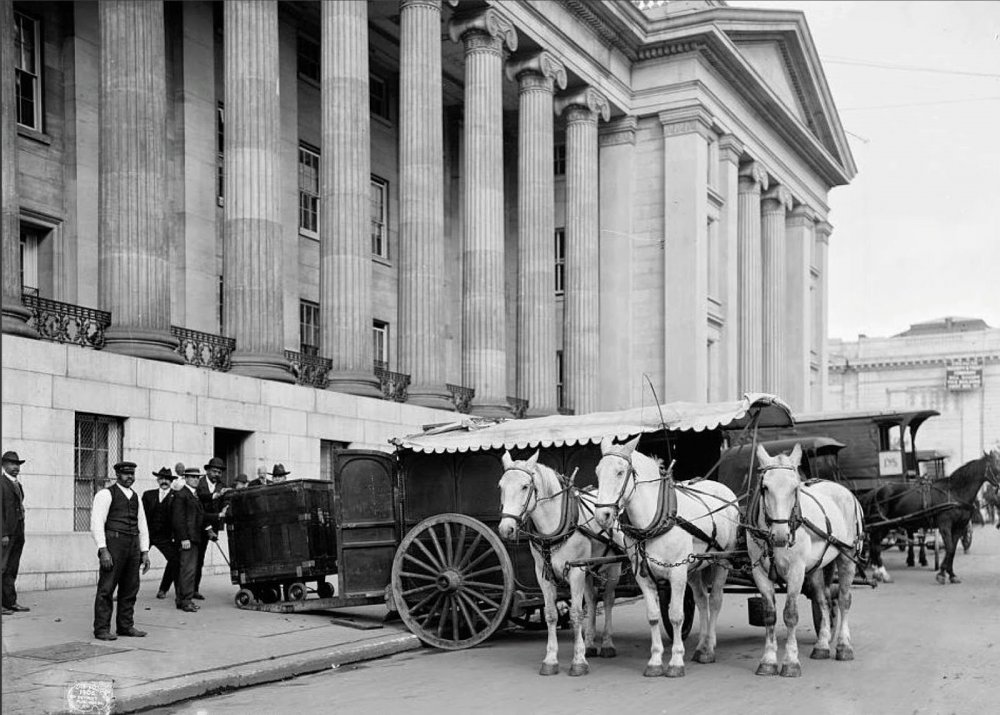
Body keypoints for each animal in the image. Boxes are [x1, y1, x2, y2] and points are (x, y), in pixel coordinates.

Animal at [496, 450, 620, 680]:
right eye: (501, 486)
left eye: (525, 486)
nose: (506, 528)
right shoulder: (543, 574)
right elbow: (551, 614)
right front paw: (551, 660)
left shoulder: (576, 571)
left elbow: (576, 614)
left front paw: (578, 661)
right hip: (589, 569)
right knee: (592, 600)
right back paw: (590, 643)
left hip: (611, 568)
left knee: (607, 600)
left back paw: (607, 644)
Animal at [592, 436, 744, 676]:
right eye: (598, 472)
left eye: (620, 472)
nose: (602, 515)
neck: (655, 522)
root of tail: (724, 490)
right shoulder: (644, 576)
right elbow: (654, 616)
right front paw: (655, 660)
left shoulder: (677, 573)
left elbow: (676, 615)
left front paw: (675, 661)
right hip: (694, 568)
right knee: (702, 601)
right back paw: (701, 646)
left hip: (722, 560)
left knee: (715, 600)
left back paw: (709, 647)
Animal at [752, 448, 868, 676]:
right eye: (765, 487)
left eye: (795, 488)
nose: (780, 535)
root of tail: (845, 491)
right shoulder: (759, 573)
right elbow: (769, 615)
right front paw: (768, 660)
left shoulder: (796, 571)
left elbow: (790, 614)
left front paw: (790, 661)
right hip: (816, 567)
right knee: (823, 600)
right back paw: (822, 645)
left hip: (847, 557)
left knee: (843, 600)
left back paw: (844, 646)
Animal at [860, 450, 1000, 584]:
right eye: (997, 466)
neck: (953, 493)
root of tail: (875, 491)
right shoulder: (945, 525)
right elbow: (949, 548)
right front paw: (942, 573)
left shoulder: (959, 527)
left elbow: (952, 549)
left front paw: (951, 574)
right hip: (882, 525)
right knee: (875, 545)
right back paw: (883, 573)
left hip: (885, 525)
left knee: (873, 544)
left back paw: (877, 573)